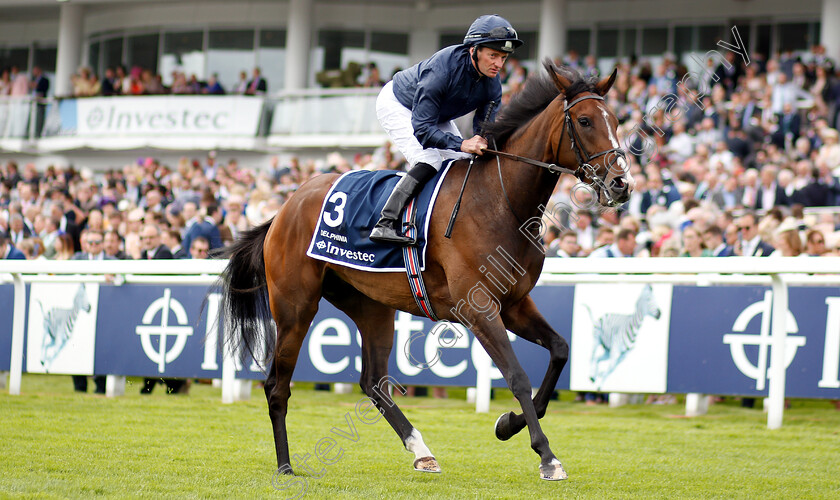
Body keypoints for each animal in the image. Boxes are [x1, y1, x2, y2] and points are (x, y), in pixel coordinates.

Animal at [220, 60, 632, 482]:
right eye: (584, 121)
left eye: (617, 120)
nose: (621, 184)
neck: (501, 202)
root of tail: (286, 206)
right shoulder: (479, 308)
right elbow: (517, 375)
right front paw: (547, 456)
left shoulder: (514, 303)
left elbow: (560, 351)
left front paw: (507, 424)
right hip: (295, 306)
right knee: (277, 384)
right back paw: (285, 464)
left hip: (370, 305)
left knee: (373, 381)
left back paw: (421, 451)